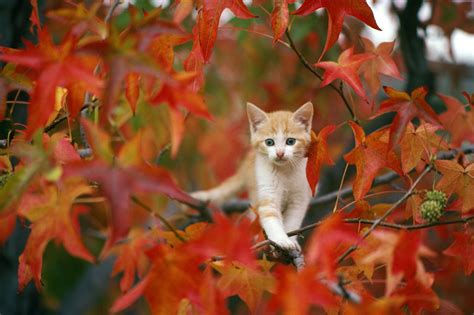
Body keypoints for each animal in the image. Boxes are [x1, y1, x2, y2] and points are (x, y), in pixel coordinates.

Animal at [191, 102, 312, 253]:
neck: (285, 171)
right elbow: (270, 216)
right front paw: (281, 240)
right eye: (269, 142)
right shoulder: (267, 189)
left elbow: (293, 221)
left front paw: (291, 241)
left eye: (290, 141)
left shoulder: (299, 198)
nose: (280, 153)